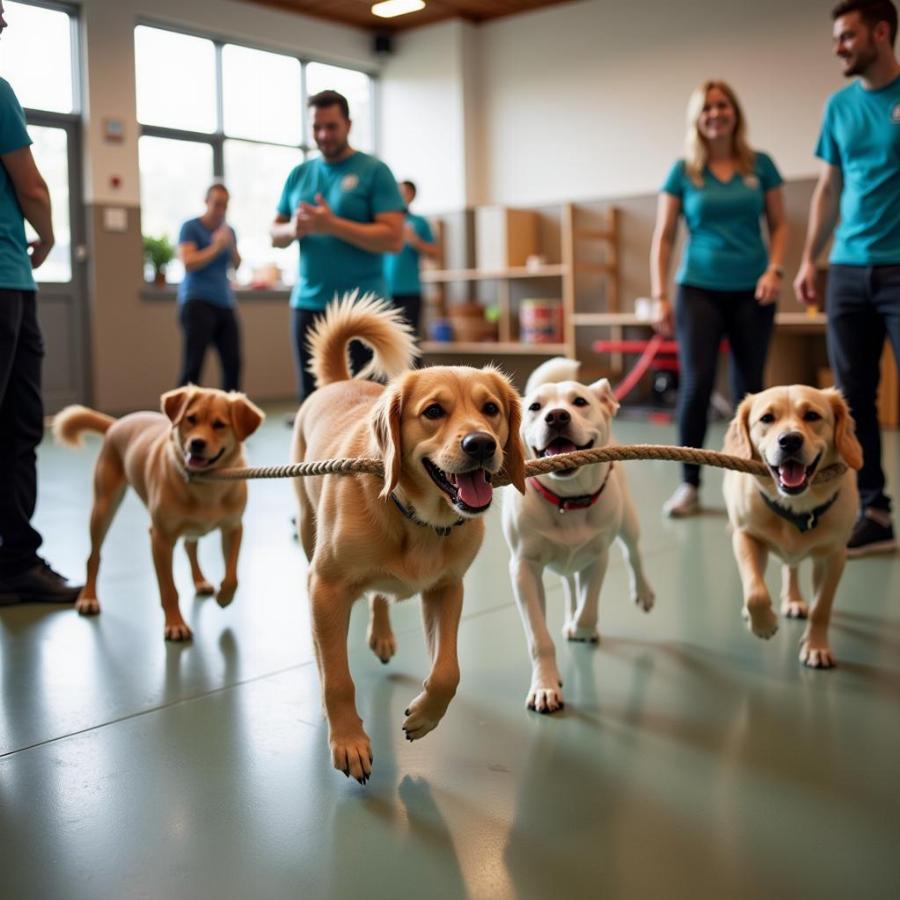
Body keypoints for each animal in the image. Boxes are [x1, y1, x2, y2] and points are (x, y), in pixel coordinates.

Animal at [54, 386, 264, 640]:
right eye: (190, 419)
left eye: (219, 425)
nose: (196, 443)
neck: (206, 484)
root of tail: (117, 423)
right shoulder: (160, 539)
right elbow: (169, 589)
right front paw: (175, 624)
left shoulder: (233, 528)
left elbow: (232, 575)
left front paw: (225, 597)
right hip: (104, 508)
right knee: (93, 557)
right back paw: (88, 598)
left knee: (190, 547)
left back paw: (200, 581)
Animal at [292, 294, 524, 780]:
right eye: (433, 411)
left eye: (491, 409)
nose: (481, 444)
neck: (417, 519)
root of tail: (339, 382)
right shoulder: (326, 587)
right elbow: (338, 680)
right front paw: (348, 739)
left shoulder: (446, 589)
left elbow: (448, 672)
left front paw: (423, 716)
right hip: (307, 531)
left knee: (379, 595)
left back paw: (382, 635)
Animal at [500, 356, 652, 712]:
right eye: (535, 407)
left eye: (580, 402)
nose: (556, 416)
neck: (567, 499)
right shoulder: (524, 569)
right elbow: (539, 637)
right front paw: (545, 686)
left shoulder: (598, 557)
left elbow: (589, 604)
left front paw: (583, 628)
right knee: (570, 585)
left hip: (628, 522)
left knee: (633, 554)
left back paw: (643, 593)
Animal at [720, 386, 860, 668]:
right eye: (766, 419)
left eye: (812, 415)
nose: (790, 440)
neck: (796, 506)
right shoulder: (746, 537)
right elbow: (755, 591)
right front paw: (763, 624)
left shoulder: (833, 557)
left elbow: (821, 608)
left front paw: (816, 646)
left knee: (792, 568)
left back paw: (794, 600)